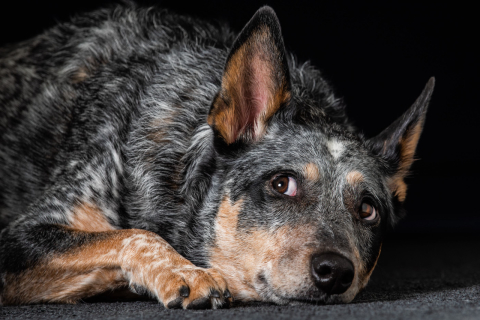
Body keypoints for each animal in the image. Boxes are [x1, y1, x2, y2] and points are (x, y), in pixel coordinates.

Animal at [0, 1, 436, 308]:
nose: (336, 272)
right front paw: (185, 272)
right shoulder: (17, 238)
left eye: (368, 210)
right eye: (282, 184)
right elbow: (133, 235)